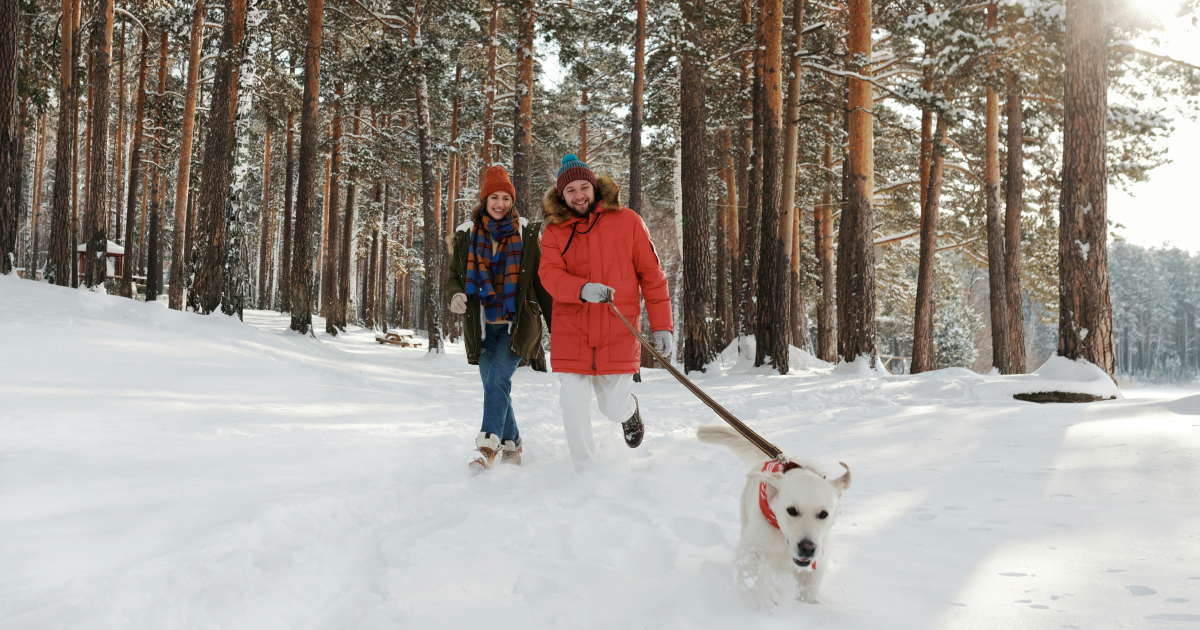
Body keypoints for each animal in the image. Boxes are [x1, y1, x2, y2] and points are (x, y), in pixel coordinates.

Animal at [696, 424, 854, 607]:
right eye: (791, 510)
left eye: (823, 514)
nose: (807, 549)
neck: (783, 540)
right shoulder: (748, 547)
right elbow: (751, 566)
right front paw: (765, 597)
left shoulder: (817, 563)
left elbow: (808, 592)